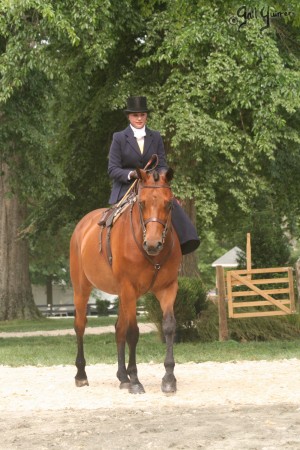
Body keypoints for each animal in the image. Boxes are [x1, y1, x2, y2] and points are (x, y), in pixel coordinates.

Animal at [70, 166, 180, 394]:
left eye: (169, 203)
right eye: (142, 203)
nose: (153, 244)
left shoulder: (167, 288)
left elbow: (168, 326)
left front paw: (168, 378)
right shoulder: (129, 289)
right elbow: (132, 332)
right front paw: (136, 379)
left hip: (121, 294)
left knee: (118, 328)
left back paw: (122, 377)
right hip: (82, 289)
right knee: (80, 326)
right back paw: (81, 375)